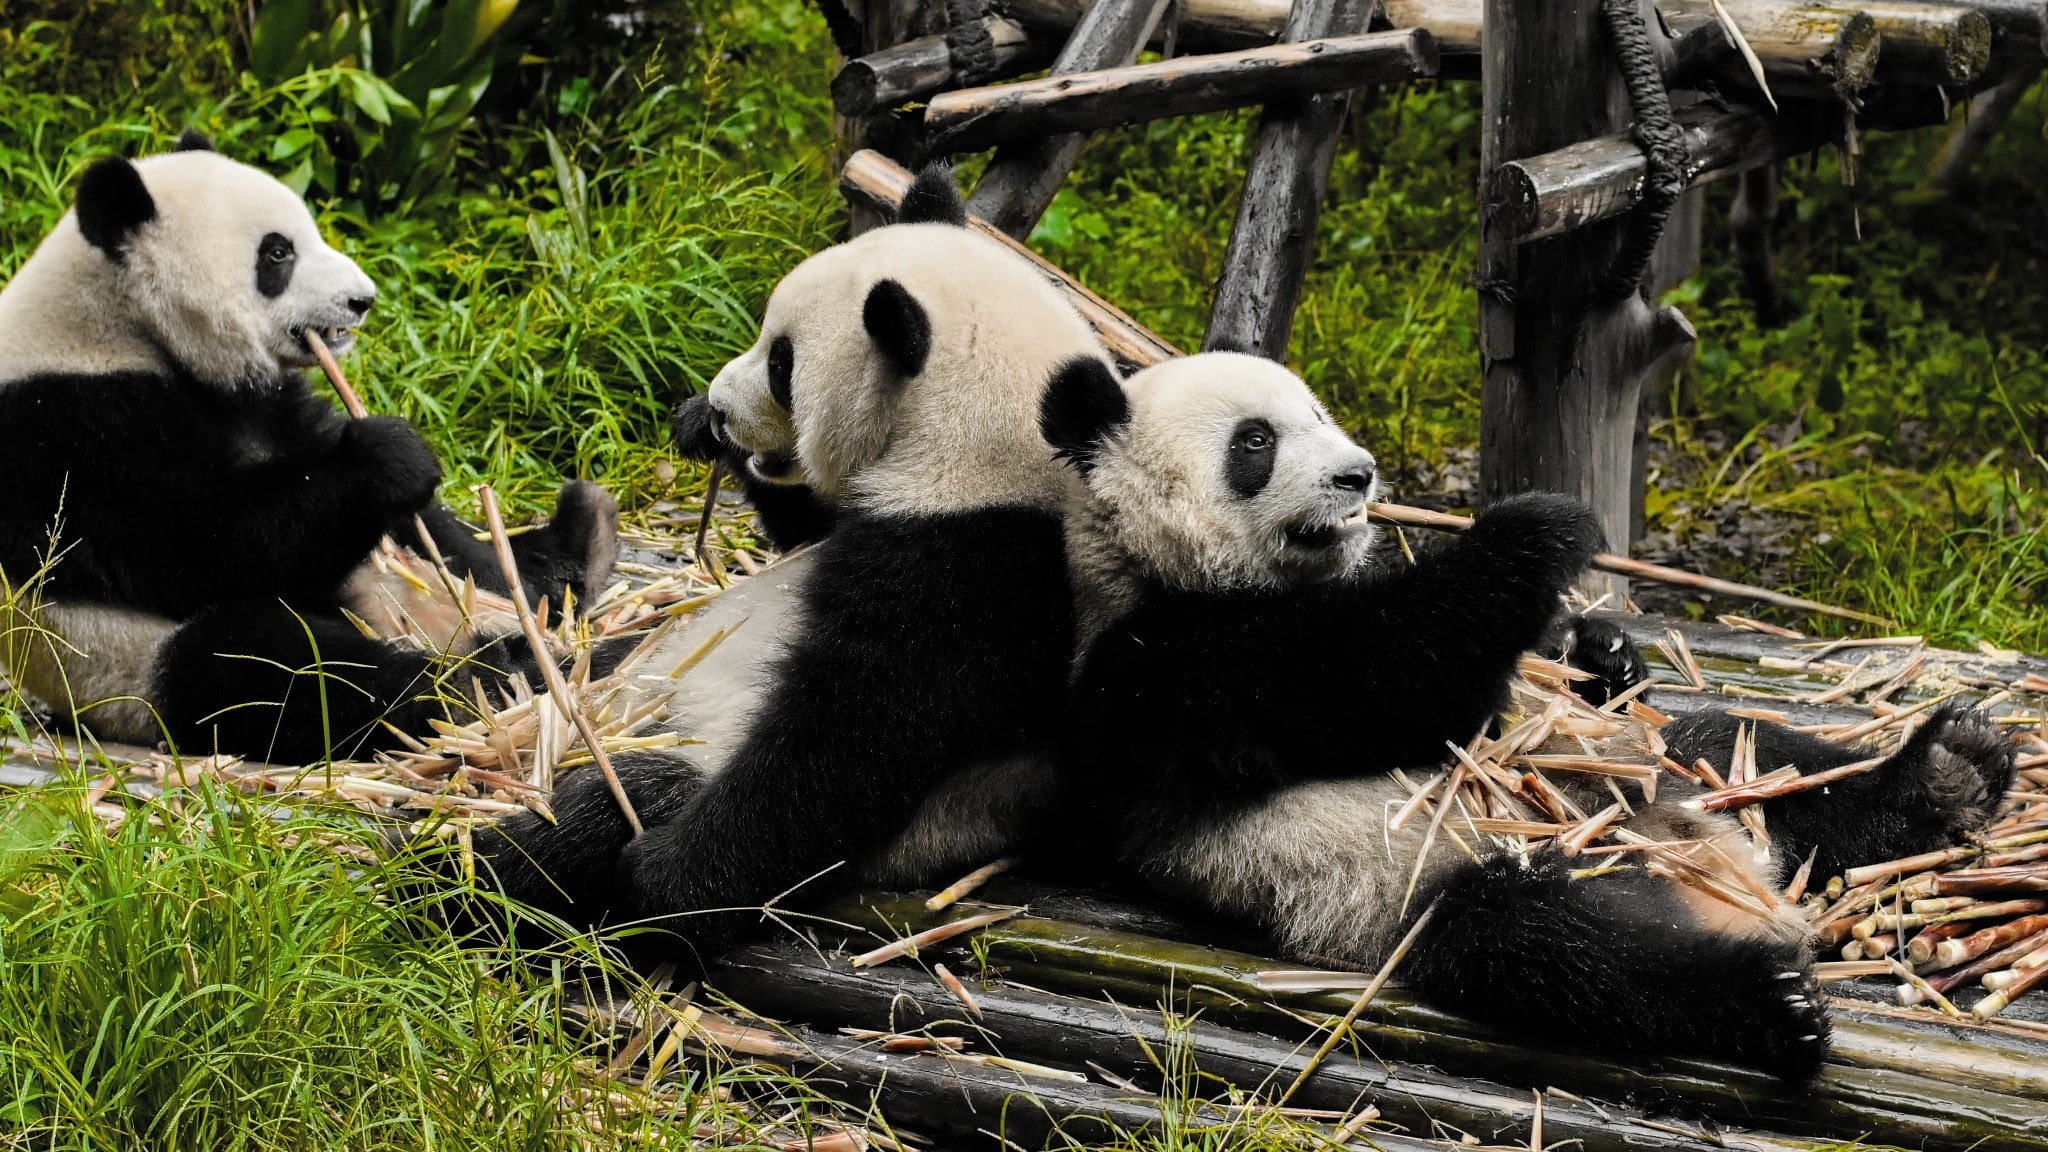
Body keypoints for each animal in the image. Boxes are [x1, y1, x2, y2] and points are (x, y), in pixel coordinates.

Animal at [0, 132, 618, 765]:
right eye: (277, 254)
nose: (362, 300)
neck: (120, 326)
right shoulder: (73, 431)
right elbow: (200, 545)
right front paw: (387, 458)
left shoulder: (267, 405)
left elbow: (399, 514)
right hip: (121, 663)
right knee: (275, 669)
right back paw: (477, 681)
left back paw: (574, 550)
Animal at [470, 164, 1115, 951]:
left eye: (783, 364)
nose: (721, 407)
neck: (979, 438)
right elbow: (806, 527)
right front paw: (698, 429)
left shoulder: (973, 566)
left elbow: (849, 741)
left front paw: (663, 877)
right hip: (627, 659)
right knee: (540, 670)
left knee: (604, 809)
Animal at [1036, 351, 2015, 1080]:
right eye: (1255, 442)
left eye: (1317, 410)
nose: (1358, 474)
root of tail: (1717, 870)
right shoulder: (1165, 668)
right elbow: (1389, 677)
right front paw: (1538, 527)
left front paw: (1605, 651)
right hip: (1406, 889)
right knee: (1557, 946)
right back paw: (1771, 997)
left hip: (1667, 778)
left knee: (1757, 757)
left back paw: (1946, 777)